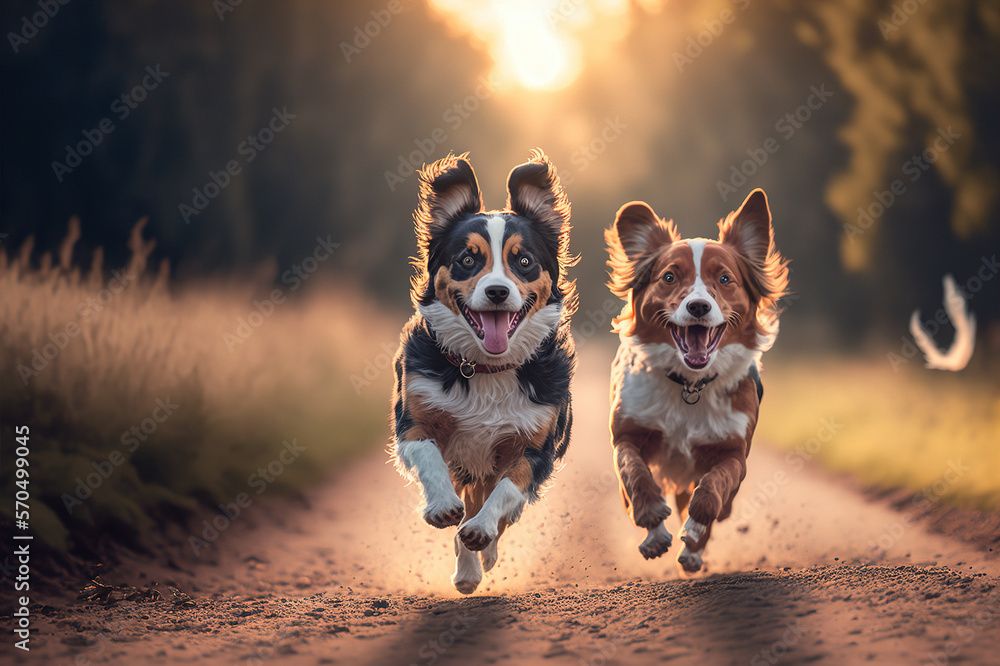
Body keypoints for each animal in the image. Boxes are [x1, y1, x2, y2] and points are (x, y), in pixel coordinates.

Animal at [392, 149, 580, 592]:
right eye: (467, 260)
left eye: (523, 261)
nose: (497, 291)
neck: (487, 369)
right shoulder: (414, 419)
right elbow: (429, 455)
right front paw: (442, 507)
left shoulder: (535, 446)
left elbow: (509, 489)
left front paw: (482, 532)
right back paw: (466, 568)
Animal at [600, 187, 788, 572]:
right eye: (670, 277)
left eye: (725, 279)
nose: (698, 306)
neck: (689, 383)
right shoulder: (626, 434)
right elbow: (634, 473)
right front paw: (652, 518)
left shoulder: (732, 452)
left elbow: (712, 490)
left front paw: (696, 532)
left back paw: (693, 550)